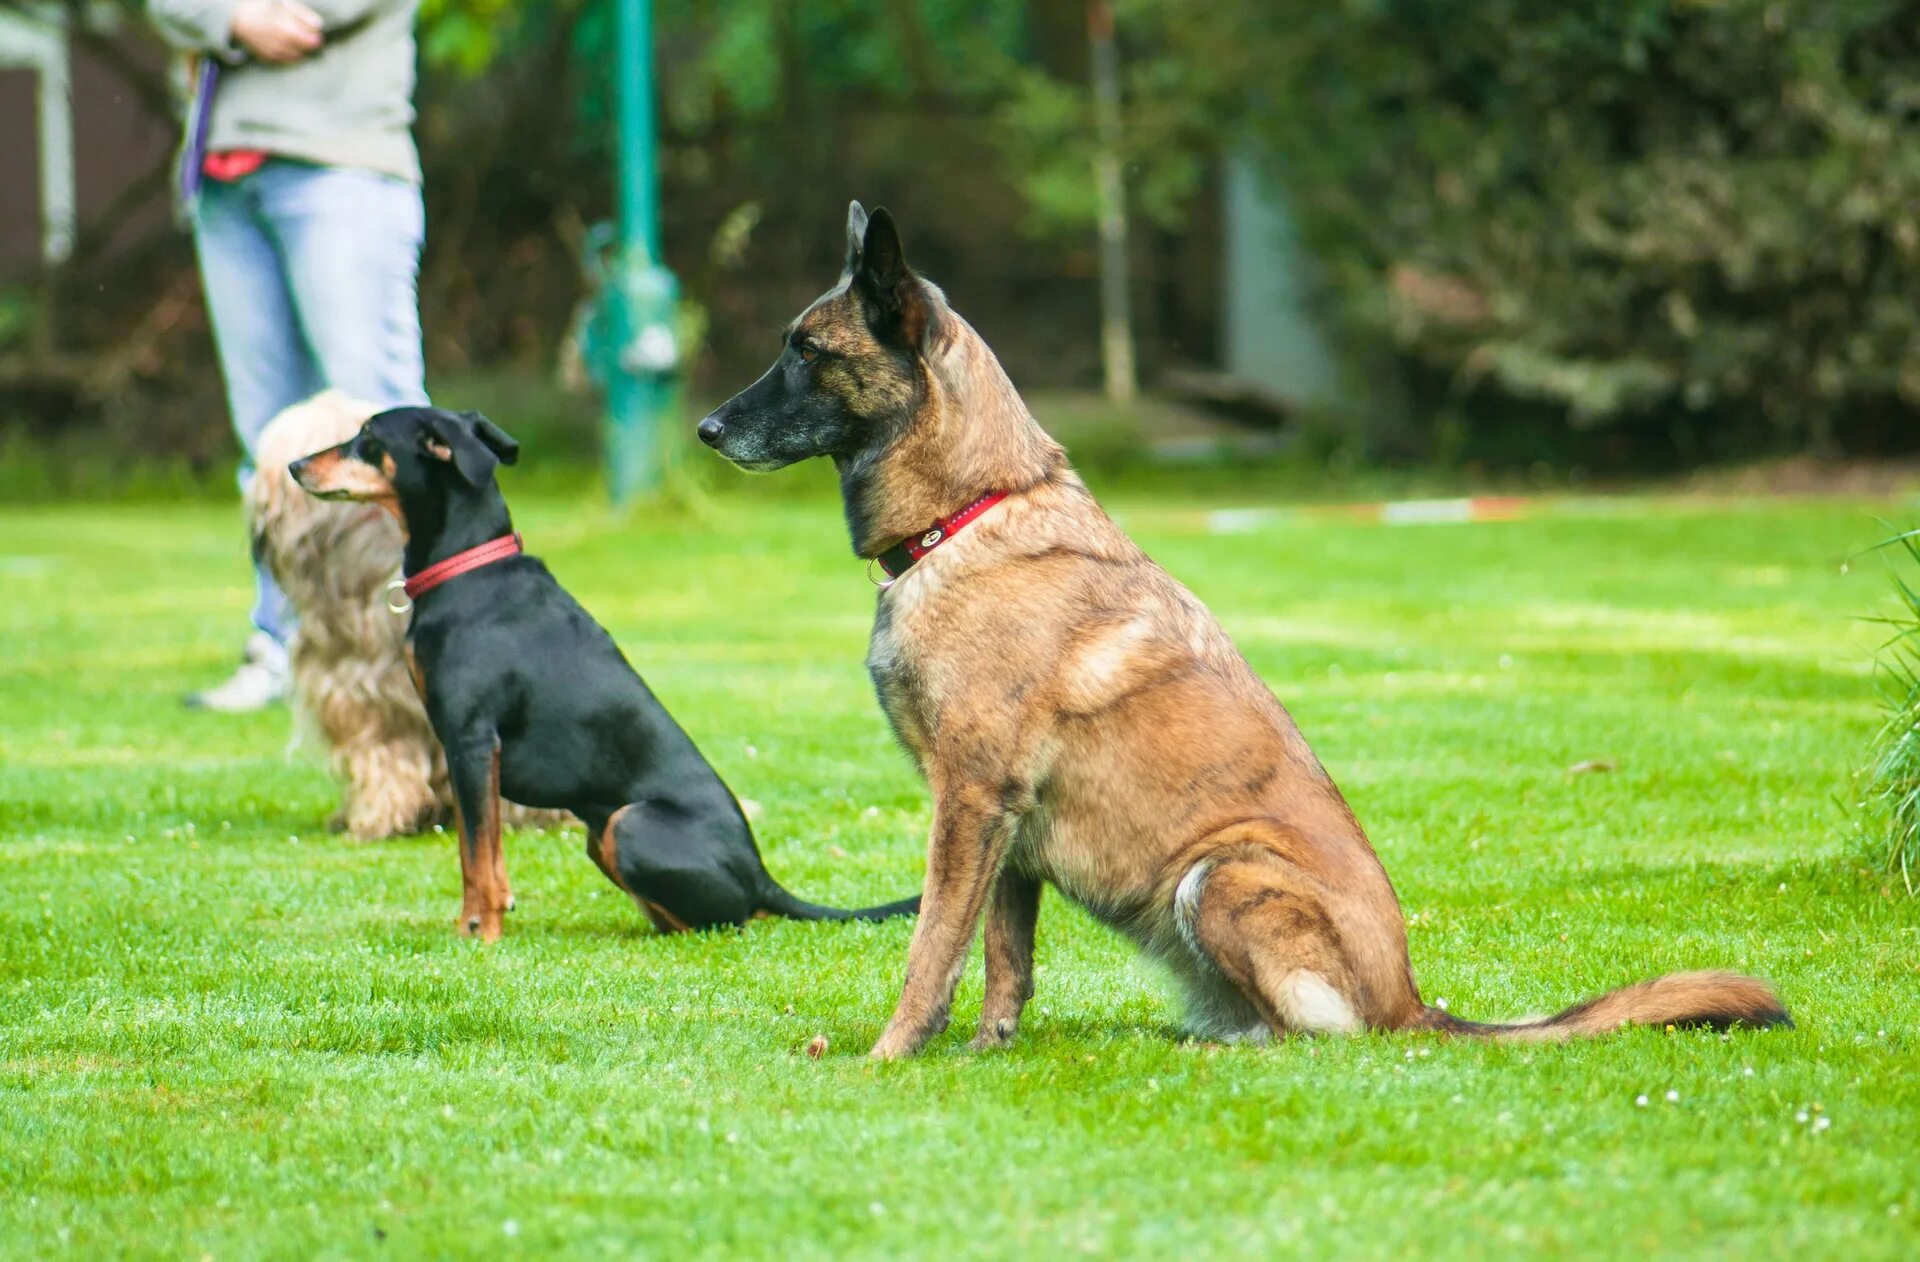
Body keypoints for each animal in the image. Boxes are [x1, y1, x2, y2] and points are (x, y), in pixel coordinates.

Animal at [288, 403, 917, 933]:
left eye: (368, 437)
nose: (295, 464)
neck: (470, 569)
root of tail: (763, 876)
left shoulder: (471, 743)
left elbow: (478, 856)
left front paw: (479, 932)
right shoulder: (463, 753)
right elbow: (479, 851)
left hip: (628, 824)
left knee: (726, 923)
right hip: (601, 836)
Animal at [698, 204, 1789, 1052]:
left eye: (806, 353)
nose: (706, 428)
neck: (970, 513)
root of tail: (1412, 1001)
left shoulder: (968, 803)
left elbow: (932, 949)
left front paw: (889, 1056)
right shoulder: (1007, 833)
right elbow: (1004, 961)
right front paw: (986, 1053)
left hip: (1221, 874)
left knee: (1321, 1036)